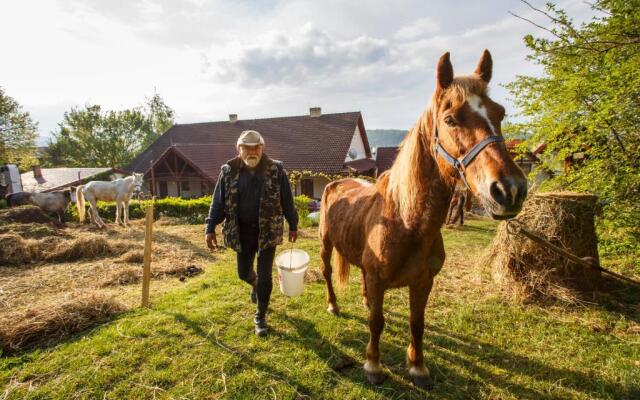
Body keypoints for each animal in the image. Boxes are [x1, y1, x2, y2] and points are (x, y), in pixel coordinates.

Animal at [318, 49, 528, 388]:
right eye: (450, 119)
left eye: (500, 113)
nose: (509, 190)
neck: (406, 221)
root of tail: (336, 183)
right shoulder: (379, 280)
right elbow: (376, 323)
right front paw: (373, 365)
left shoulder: (423, 282)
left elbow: (417, 323)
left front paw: (418, 367)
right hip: (325, 245)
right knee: (326, 273)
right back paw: (333, 304)